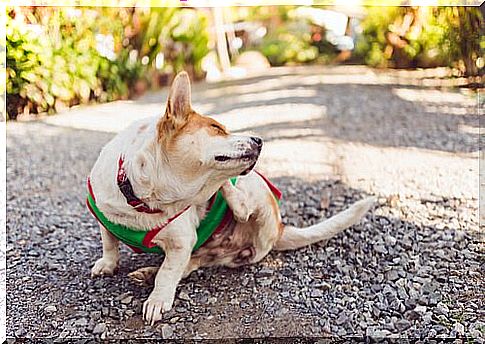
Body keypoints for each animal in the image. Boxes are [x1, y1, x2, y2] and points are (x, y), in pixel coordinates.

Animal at [88, 70, 374, 326]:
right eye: (216, 128)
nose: (259, 139)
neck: (142, 200)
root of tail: (280, 228)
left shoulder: (181, 242)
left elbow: (168, 273)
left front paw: (158, 299)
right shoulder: (106, 219)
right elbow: (110, 243)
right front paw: (108, 264)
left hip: (256, 187)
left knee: (241, 210)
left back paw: (225, 189)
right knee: (192, 263)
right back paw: (148, 272)